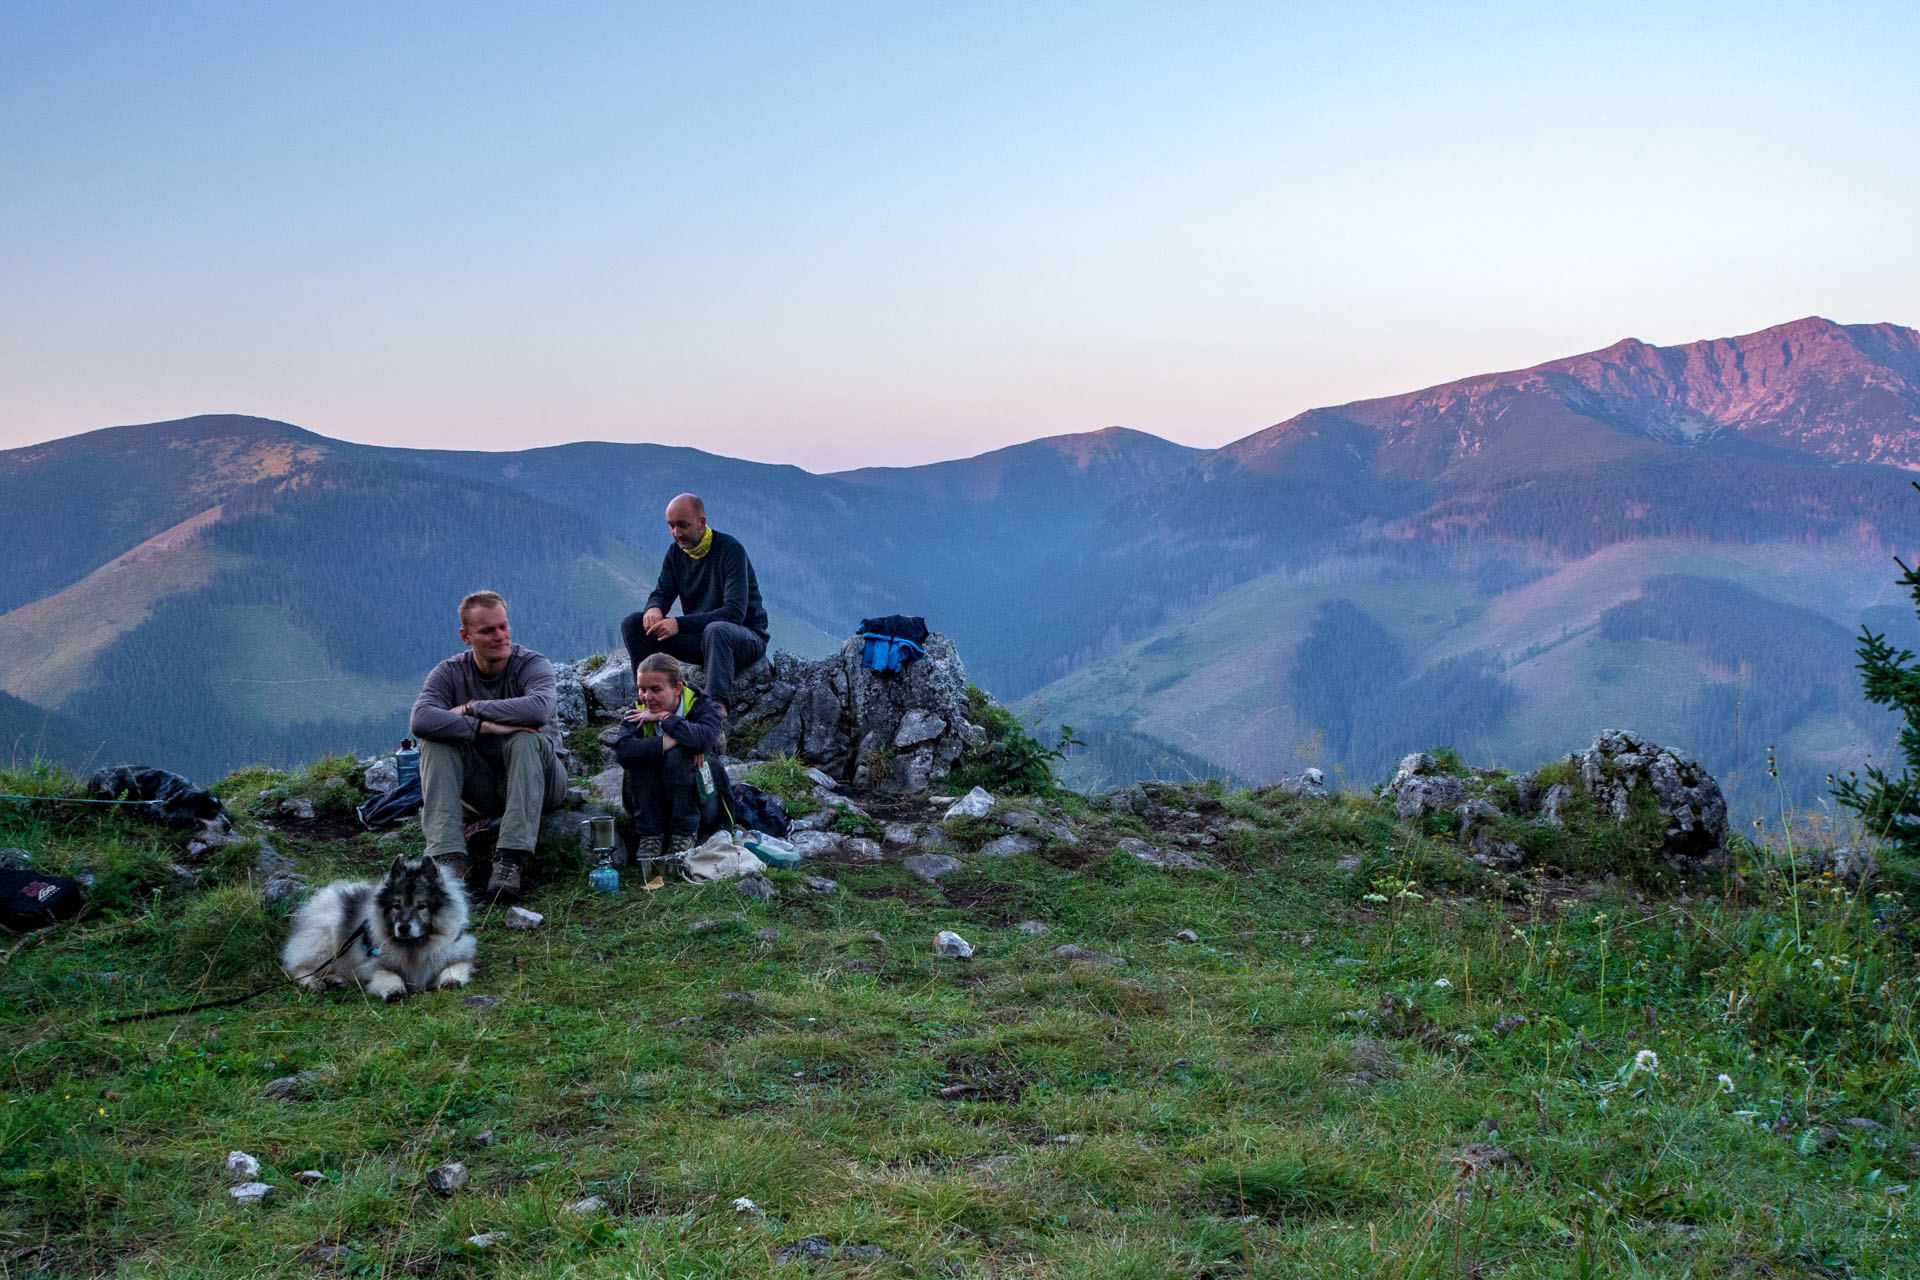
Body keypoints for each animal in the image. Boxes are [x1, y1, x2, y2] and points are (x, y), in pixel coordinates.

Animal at [284, 859, 480, 997]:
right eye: (396, 906)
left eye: (421, 906)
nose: (403, 927)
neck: (414, 946)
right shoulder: (375, 964)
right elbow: (390, 976)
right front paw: (394, 991)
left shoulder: (459, 955)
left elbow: (452, 968)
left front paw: (450, 981)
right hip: (327, 940)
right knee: (301, 968)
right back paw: (313, 982)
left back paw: (336, 980)